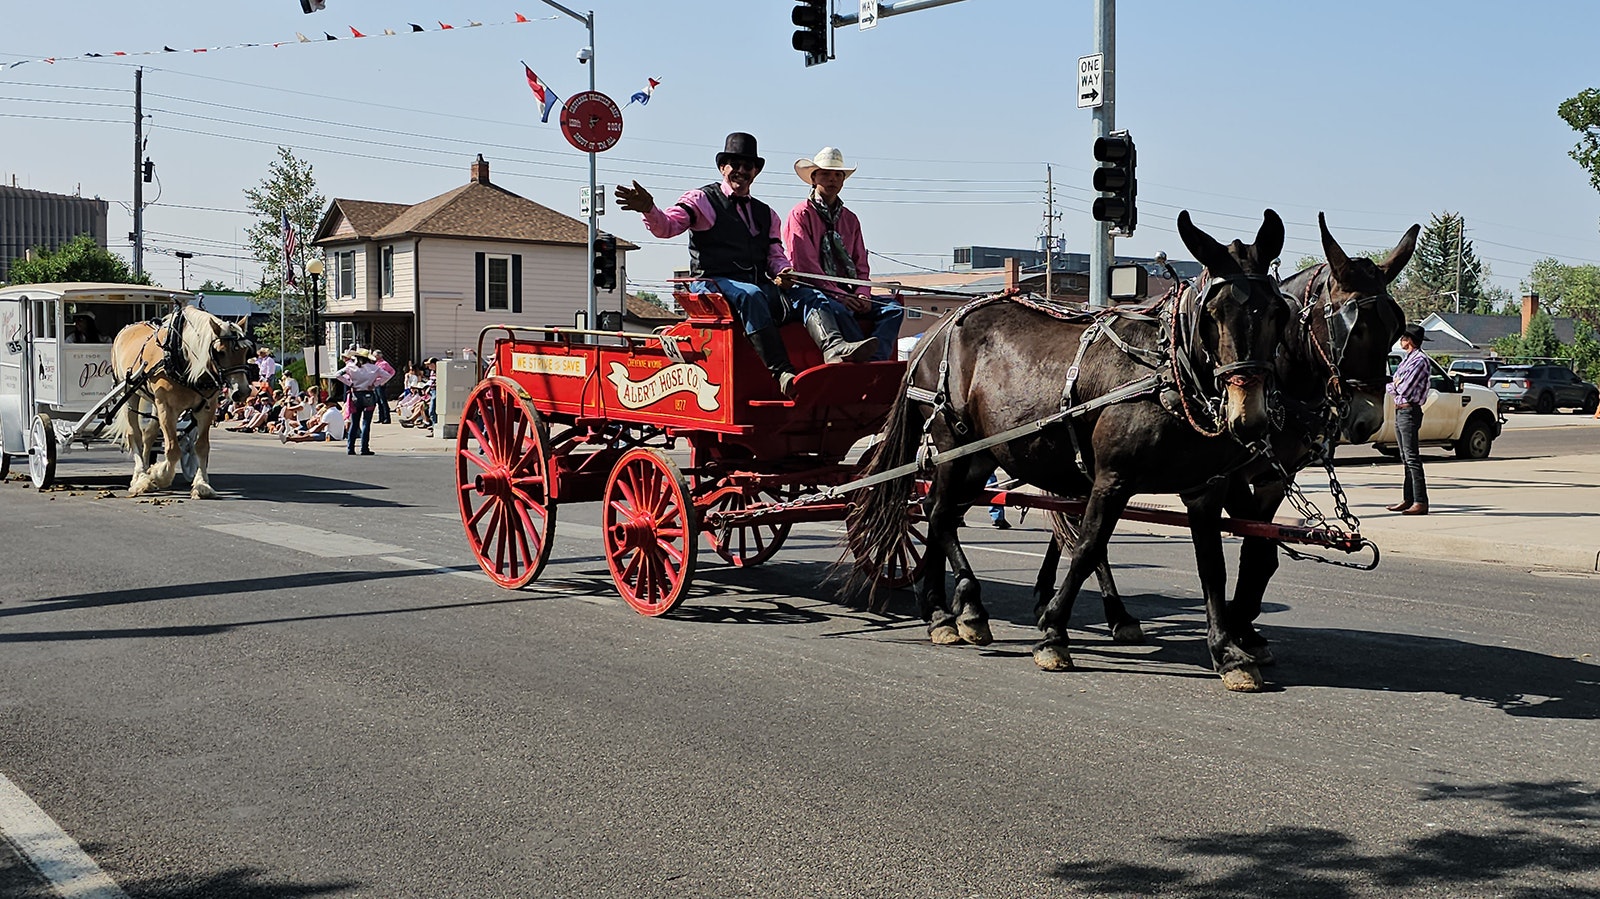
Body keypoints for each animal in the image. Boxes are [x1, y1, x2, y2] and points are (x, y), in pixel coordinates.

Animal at [109, 300, 251, 495]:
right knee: (134, 435)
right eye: (220, 352)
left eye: (245, 351)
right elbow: (173, 449)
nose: (242, 391)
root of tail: (127, 328)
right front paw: (159, 476)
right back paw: (140, 477)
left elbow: (201, 446)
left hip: (155, 403)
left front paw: (202, 484)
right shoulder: (168, 408)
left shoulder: (207, 407)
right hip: (130, 394)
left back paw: (144, 471)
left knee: (148, 435)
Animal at [857, 212, 1292, 687]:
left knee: (941, 512)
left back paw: (944, 610)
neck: (1167, 377)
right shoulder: (1112, 479)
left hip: (980, 460)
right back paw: (960, 608)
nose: (1249, 418)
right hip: (954, 442)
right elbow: (1087, 548)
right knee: (937, 514)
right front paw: (1052, 633)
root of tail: (932, 333)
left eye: (1279, 311)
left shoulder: (1205, 489)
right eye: (1213, 314)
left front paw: (1228, 652)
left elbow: (1212, 567)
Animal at [1030, 211, 1420, 659]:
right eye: (1347, 326)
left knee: (1071, 529)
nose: (1367, 419)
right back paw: (1104, 613)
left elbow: (1259, 552)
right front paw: (1236, 625)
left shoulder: (1272, 480)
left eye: (1395, 325)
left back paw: (1057, 597)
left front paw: (1243, 627)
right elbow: (1257, 548)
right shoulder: (1231, 478)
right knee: (1084, 533)